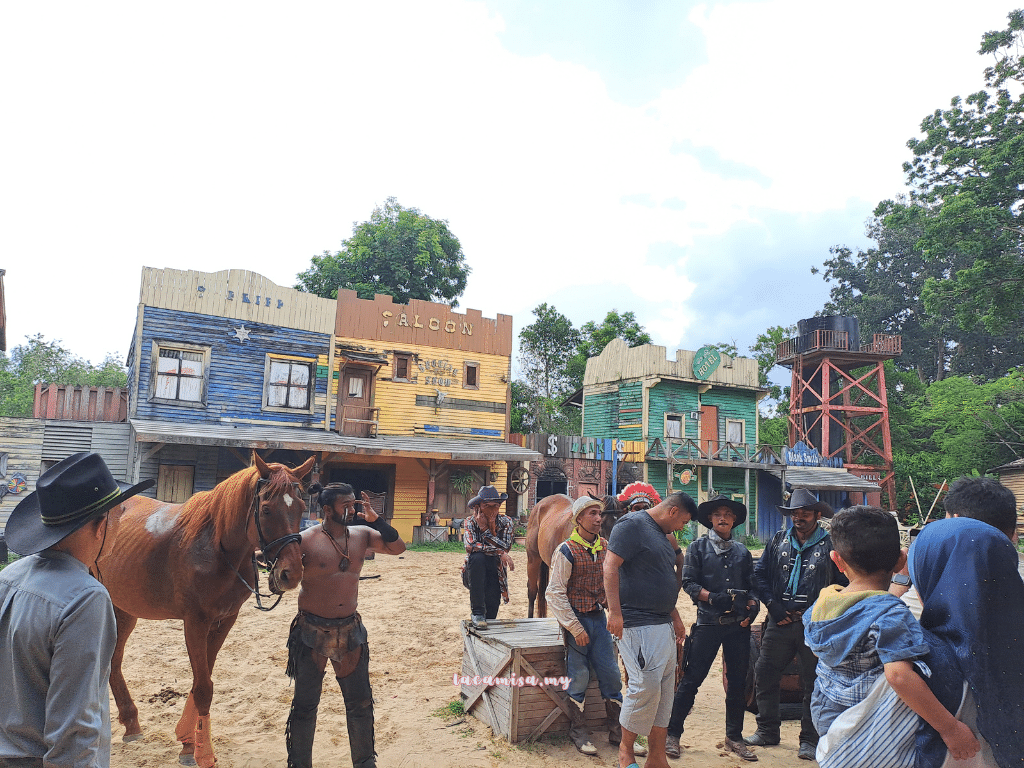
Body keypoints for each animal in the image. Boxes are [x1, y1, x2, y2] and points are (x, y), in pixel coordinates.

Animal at [98, 454, 311, 765]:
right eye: (267, 509)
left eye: (302, 508)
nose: (291, 574)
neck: (216, 548)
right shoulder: (195, 622)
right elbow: (203, 687)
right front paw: (202, 753)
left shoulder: (225, 620)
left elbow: (203, 677)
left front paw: (187, 741)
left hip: (124, 609)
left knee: (114, 661)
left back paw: (131, 723)